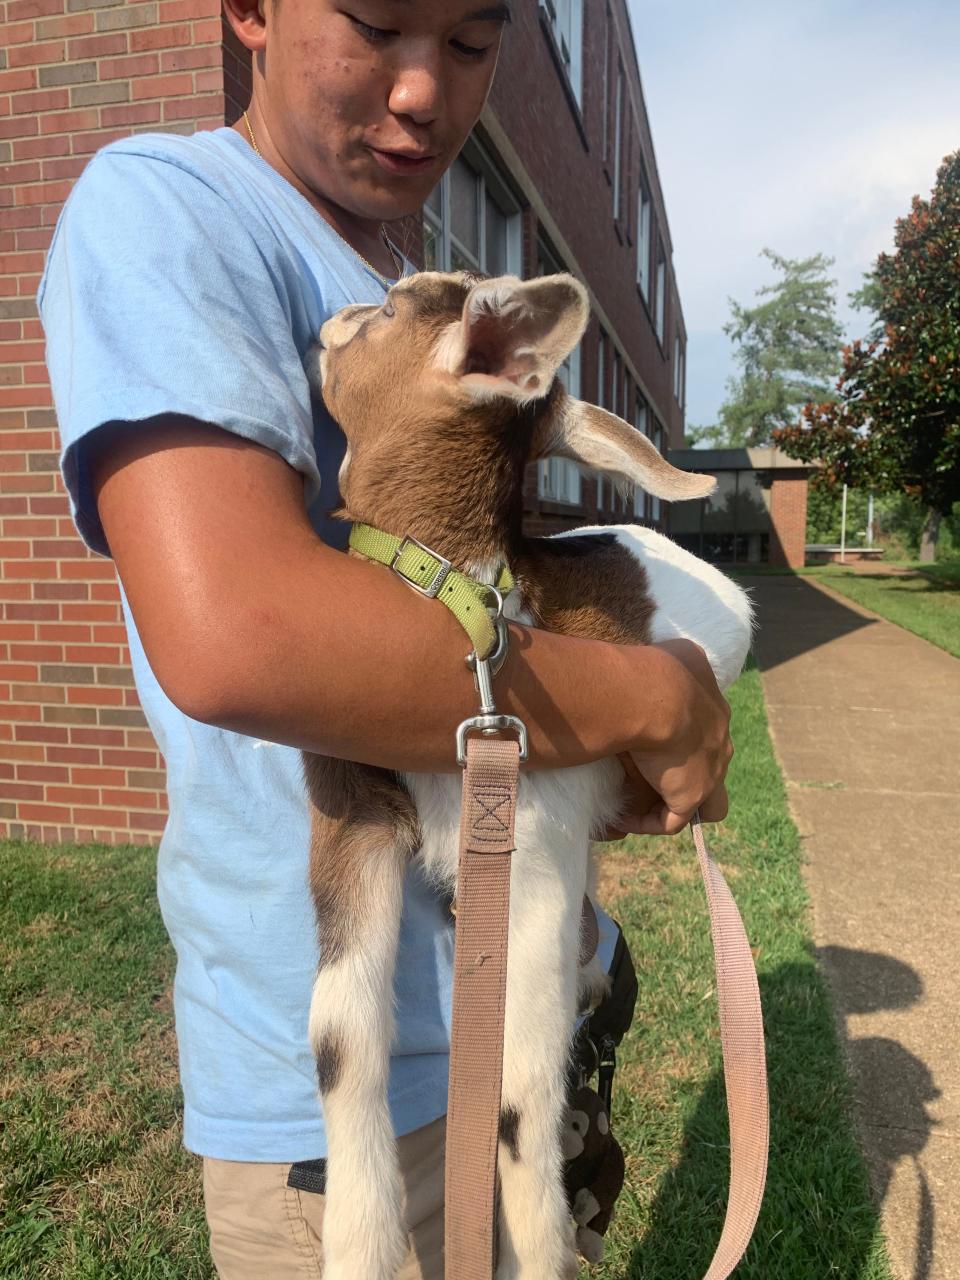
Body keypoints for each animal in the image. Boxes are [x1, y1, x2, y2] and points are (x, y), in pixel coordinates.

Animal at [304, 272, 757, 1280]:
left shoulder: (536, 849)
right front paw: (359, 1247)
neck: (469, 598)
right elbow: (339, 1041)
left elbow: (516, 1097)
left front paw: (536, 1249)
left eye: (392, 308)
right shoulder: (351, 812)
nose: (328, 322)